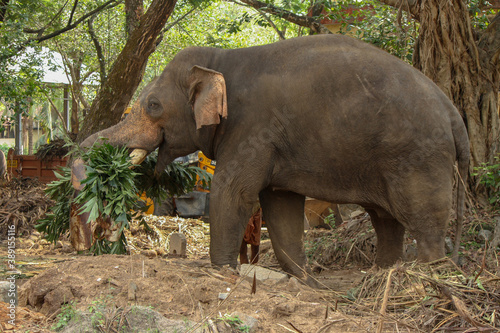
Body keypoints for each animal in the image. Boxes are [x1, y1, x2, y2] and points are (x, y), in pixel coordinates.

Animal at [81, 33, 468, 282]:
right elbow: (281, 206)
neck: (222, 59)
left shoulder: (253, 127)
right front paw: (307, 282)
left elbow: (232, 191)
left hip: (418, 156)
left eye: (153, 105)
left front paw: (222, 272)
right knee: (386, 219)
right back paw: (383, 275)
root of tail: (452, 111)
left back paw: (428, 275)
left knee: (423, 218)